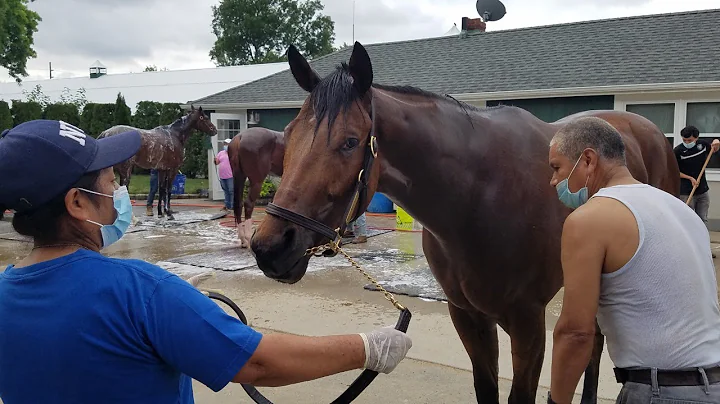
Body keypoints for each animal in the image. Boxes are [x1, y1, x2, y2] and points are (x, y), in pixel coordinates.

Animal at [250, 42, 676, 402]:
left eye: (350, 141)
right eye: (288, 134)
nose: (269, 246)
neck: (478, 198)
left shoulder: (528, 322)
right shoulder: (468, 317)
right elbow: (485, 388)